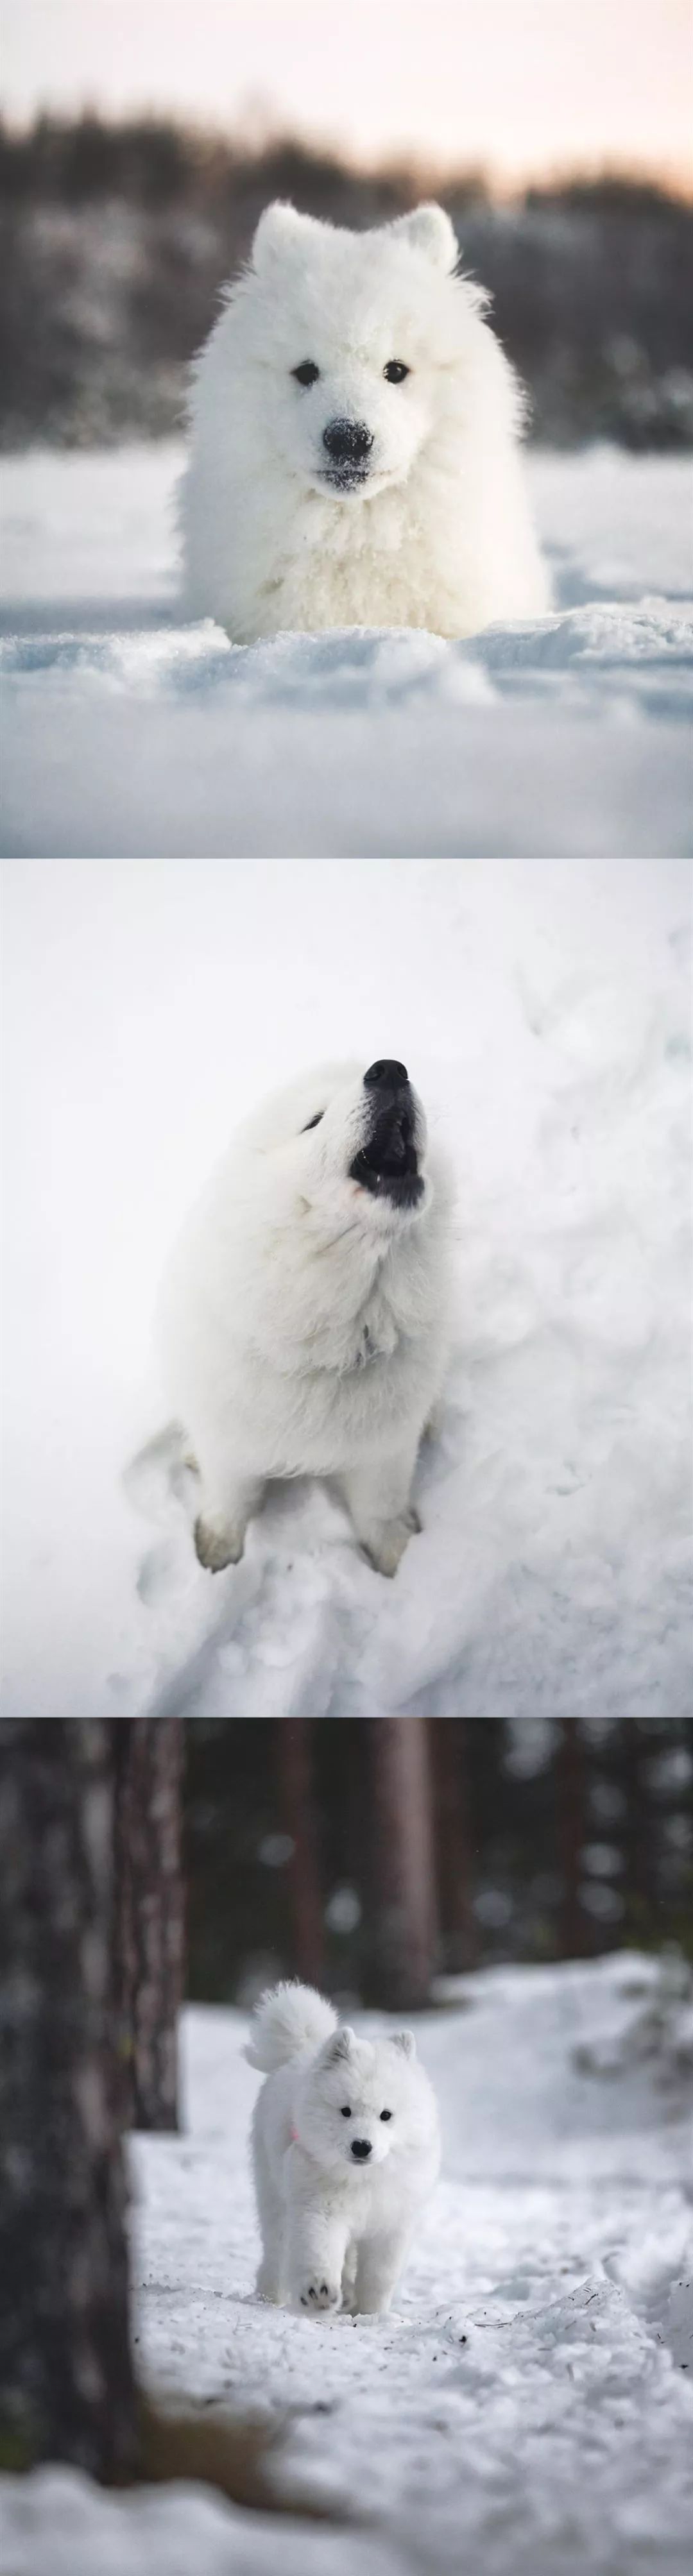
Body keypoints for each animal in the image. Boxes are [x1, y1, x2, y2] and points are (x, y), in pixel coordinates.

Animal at [155, 1056, 453, 1576]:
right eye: (314, 1121)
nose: (390, 1070)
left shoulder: (385, 1448)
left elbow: (381, 1508)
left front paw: (396, 1560)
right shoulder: (230, 1438)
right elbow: (228, 1500)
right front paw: (217, 1553)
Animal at [242, 1978, 438, 2328]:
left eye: (386, 2115)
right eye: (345, 2111)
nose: (362, 2145)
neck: (363, 2181)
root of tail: (302, 2050)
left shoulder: (391, 2223)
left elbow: (379, 2277)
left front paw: (373, 2314)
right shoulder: (320, 2209)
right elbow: (319, 2252)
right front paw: (319, 2294)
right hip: (275, 2195)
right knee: (276, 2251)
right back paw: (270, 2297)